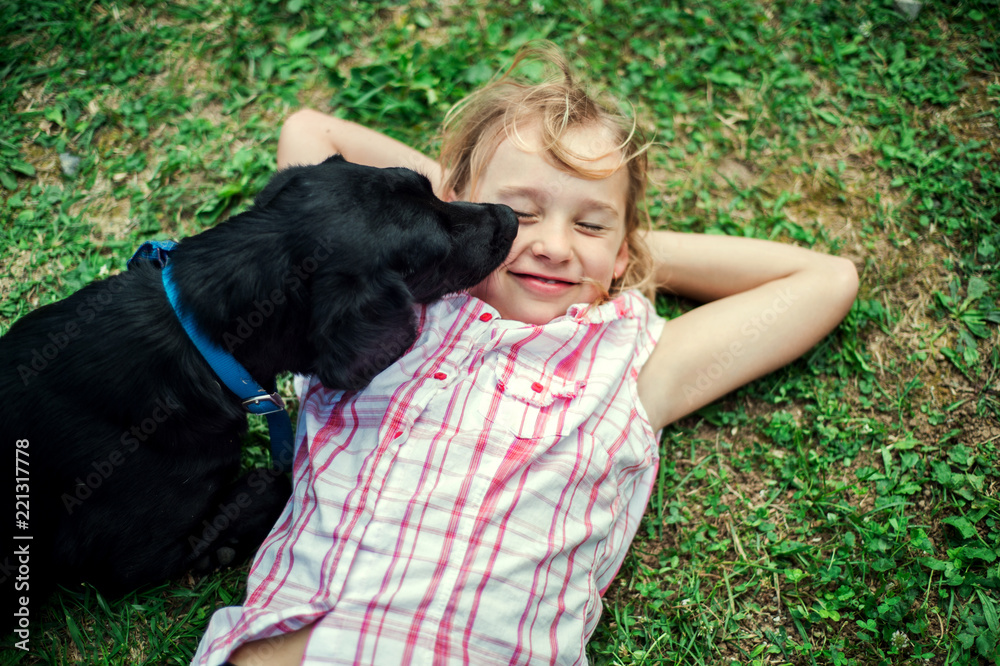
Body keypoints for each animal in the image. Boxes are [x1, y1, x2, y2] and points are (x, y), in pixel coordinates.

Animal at [0, 154, 516, 624]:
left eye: (430, 188)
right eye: (436, 249)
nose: (511, 217)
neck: (198, 338)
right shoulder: (126, 559)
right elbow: (274, 482)